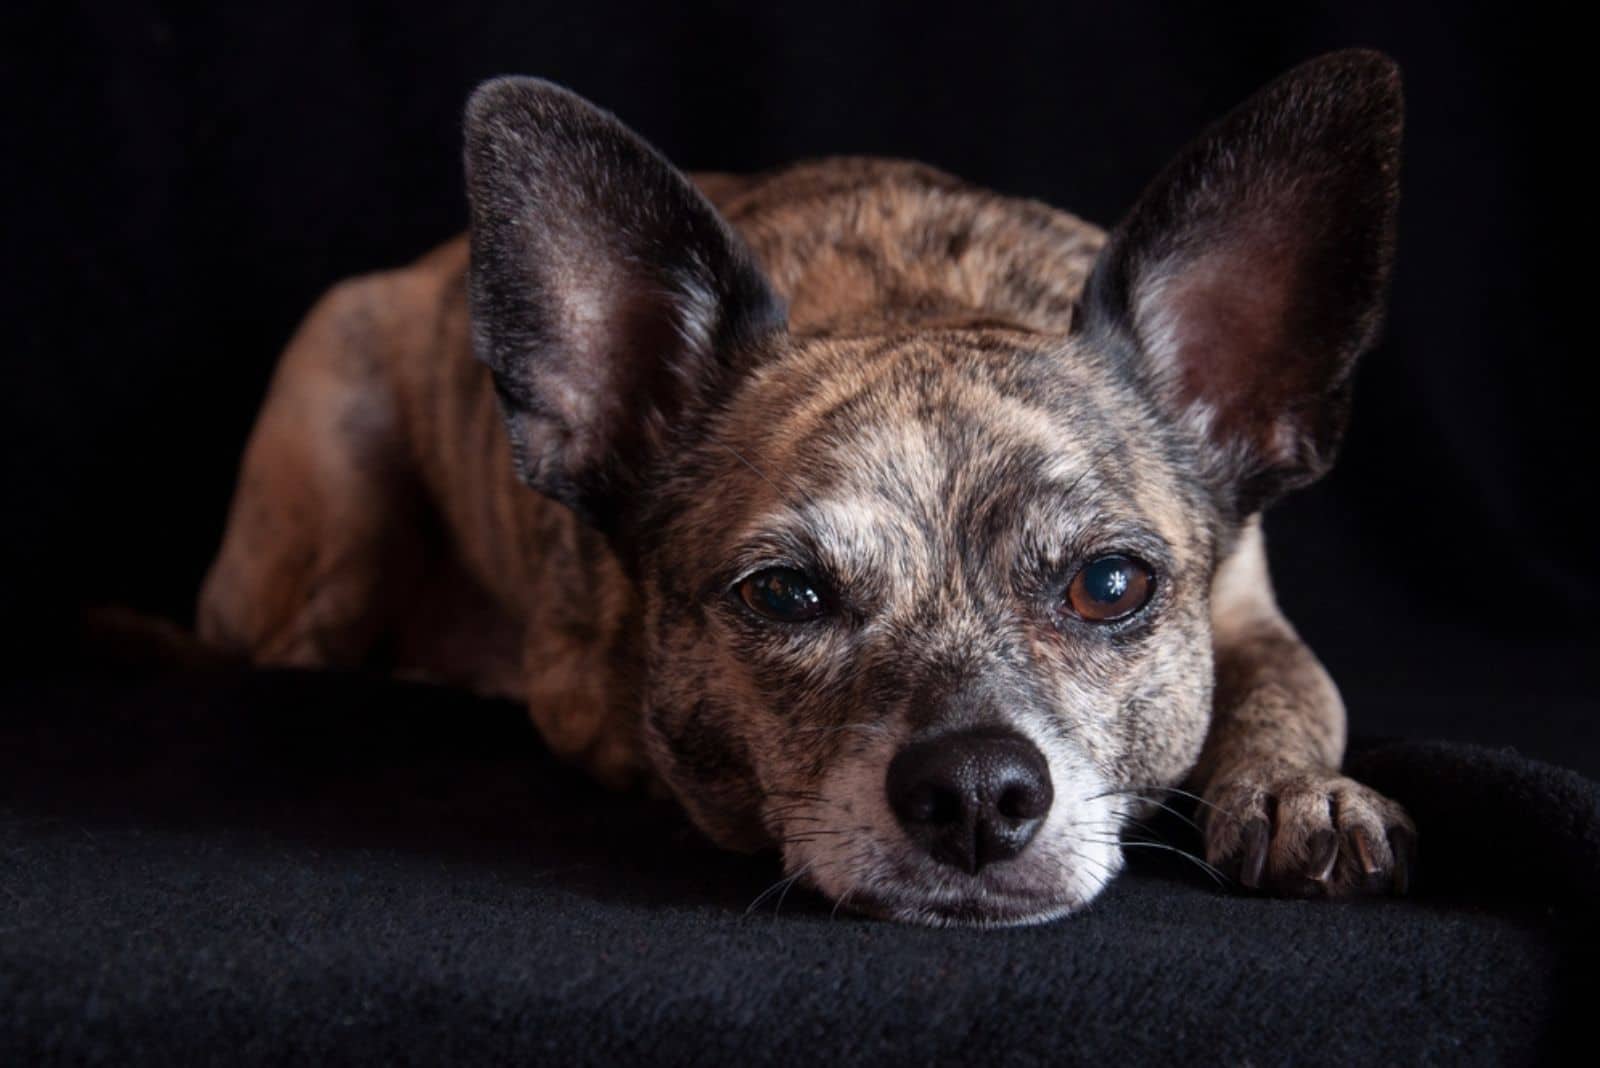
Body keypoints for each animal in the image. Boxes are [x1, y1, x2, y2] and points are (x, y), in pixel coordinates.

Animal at [200, 49, 1414, 927]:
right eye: (785, 595)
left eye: (1110, 585)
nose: (977, 791)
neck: (909, 292)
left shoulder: (1247, 610)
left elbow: (1290, 688)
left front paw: (1293, 787)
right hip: (334, 485)